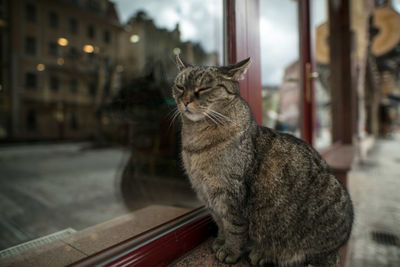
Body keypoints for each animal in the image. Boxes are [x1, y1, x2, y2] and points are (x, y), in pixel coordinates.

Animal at [172, 57, 354, 267]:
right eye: (180, 86)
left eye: (203, 89)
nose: (185, 101)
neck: (195, 140)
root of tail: (337, 249)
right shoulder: (207, 195)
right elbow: (220, 223)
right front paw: (219, 242)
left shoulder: (230, 195)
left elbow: (233, 228)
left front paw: (230, 251)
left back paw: (264, 254)